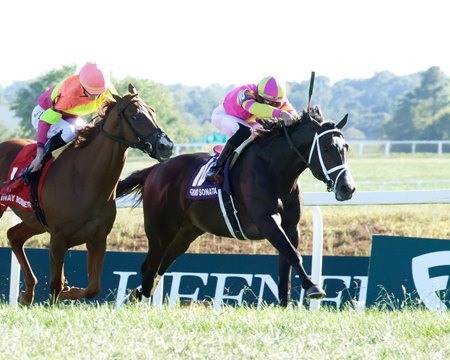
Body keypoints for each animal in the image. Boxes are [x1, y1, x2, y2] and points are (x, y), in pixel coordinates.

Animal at [0, 84, 172, 304]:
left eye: (152, 111)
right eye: (134, 116)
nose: (166, 146)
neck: (85, 181)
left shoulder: (97, 238)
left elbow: (93, 288)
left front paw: (68, 291)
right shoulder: (58, 239)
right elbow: (56, 285)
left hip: (35, 221)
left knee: (13, 236)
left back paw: (27, 293)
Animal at [118, 107, 356, 306]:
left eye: (345, 147)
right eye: (327, 148)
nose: (347, 188)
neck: (275, 171)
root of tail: (153, 171)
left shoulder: (291, 226)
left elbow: (286, 263)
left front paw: (285, 304)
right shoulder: (267, 220)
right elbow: (293, 254)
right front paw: (313, 287)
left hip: (185, 234)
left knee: (159, 268)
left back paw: (136, 294)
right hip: (160, 230)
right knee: (149, 267)